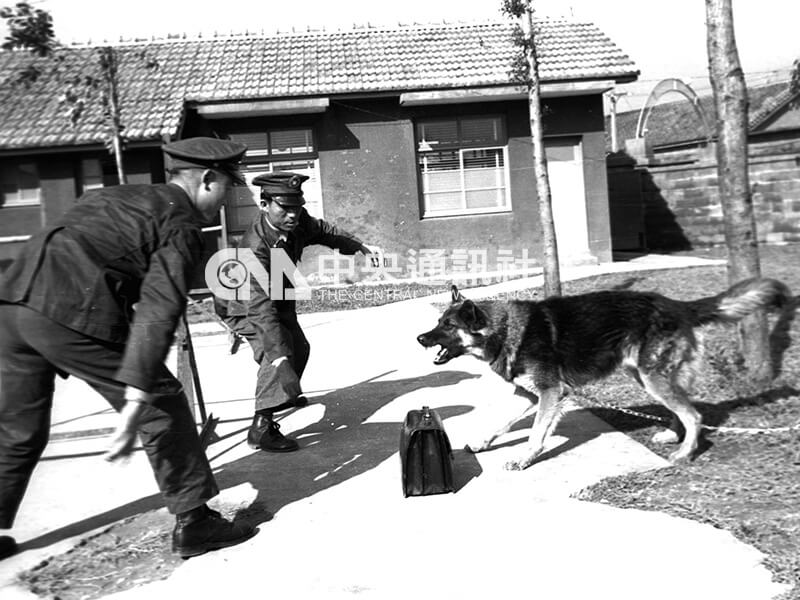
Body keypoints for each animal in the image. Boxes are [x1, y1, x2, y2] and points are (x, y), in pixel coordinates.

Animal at [416, 278, 792, 472]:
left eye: (447, 326)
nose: (420, 339)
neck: (505, 330)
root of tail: (676, 304)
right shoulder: (530, 395)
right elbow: (503, 423)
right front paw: (483, 443)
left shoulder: (551, 393)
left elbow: (535, 434)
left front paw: (524, 458)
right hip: (645, 376)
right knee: (681, 409)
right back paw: (673, 436)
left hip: (652, 377)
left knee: (694, 414)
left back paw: (684, 453)